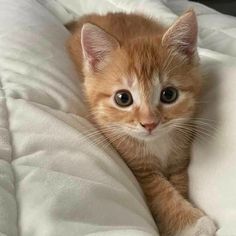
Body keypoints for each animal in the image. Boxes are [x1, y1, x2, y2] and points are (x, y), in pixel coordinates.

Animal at [67, 10, 217, 236]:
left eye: (169, 94)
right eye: (123, 98)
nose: (149, 124)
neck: (158, 143)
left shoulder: (179, 160)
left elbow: (179, 183)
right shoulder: (140, 169)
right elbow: (161, 192)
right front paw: (193, 223)